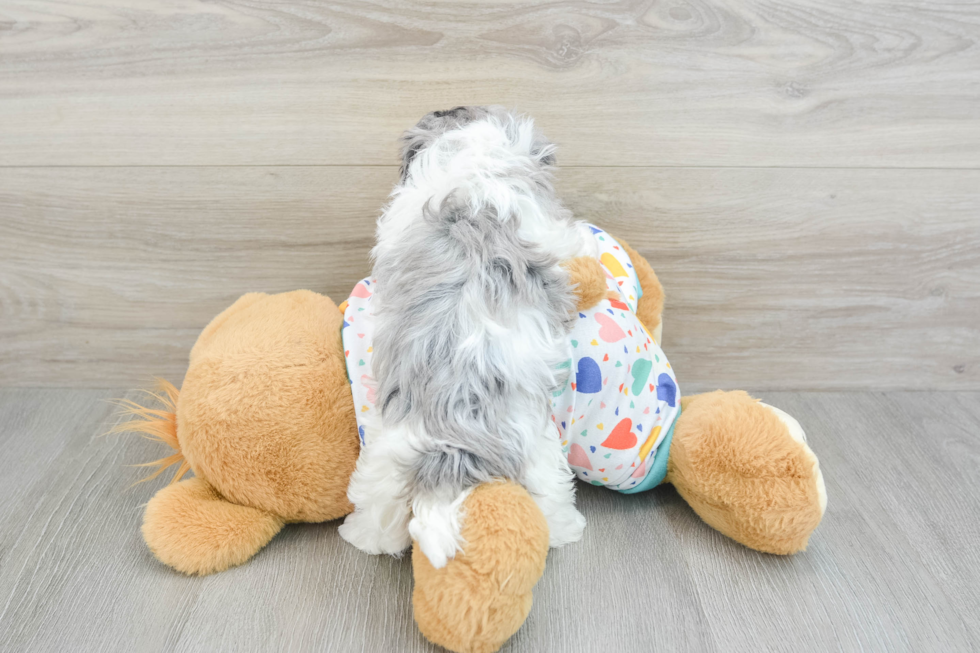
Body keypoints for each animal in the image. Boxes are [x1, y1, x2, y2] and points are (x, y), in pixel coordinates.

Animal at [340, 105, 592, 564]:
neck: (473, 168)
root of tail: (451, 446)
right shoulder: (545, 228)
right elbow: (570, 239)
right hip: (538, 446)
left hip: (389, 461)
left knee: (381, 516)